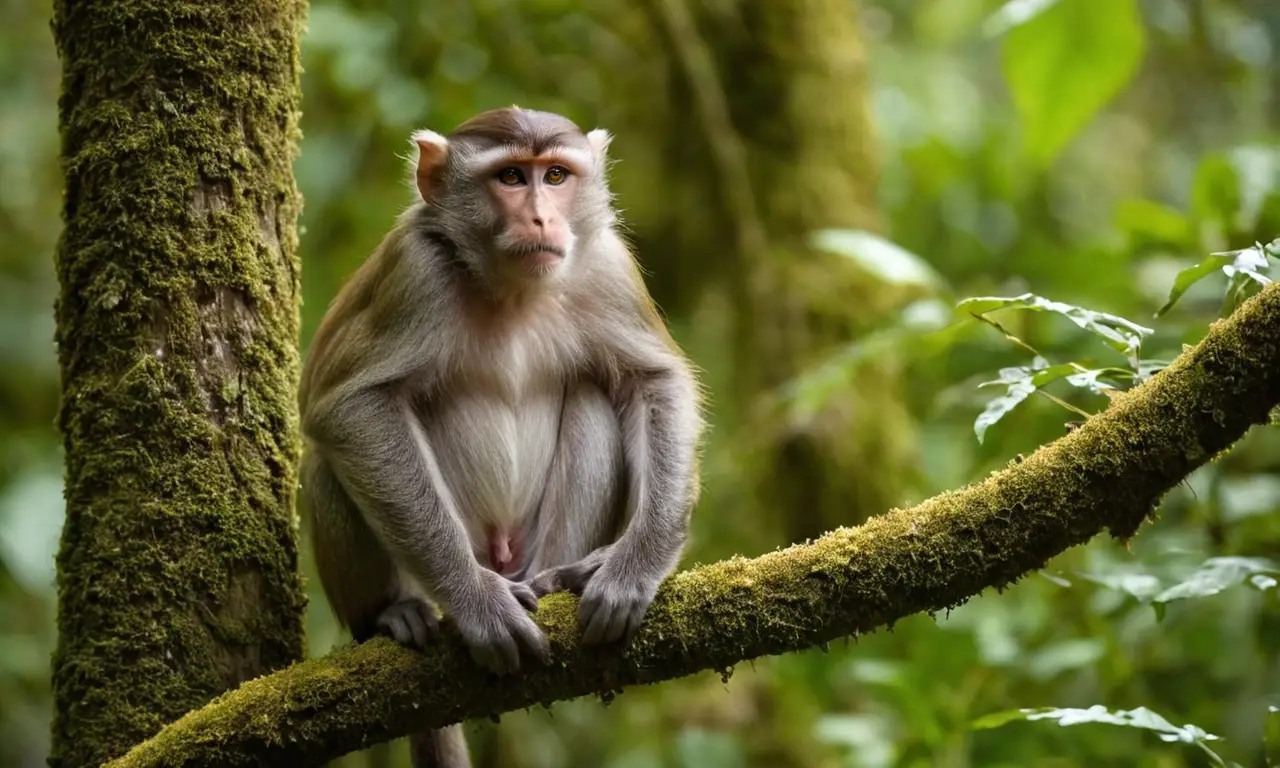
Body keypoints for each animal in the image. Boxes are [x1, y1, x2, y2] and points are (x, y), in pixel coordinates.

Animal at [297, 106, 704, 768]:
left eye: (556, 175)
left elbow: (654, 382)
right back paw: (392, 614)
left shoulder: (607, 264)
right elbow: (346, 408)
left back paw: (560, 578)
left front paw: (631, 568)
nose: (541, 216)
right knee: (325, 463)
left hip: (536, 546)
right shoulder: (415, 271)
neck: (514, 289)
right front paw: (477, 605)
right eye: (511, 177)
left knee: (594, 396)